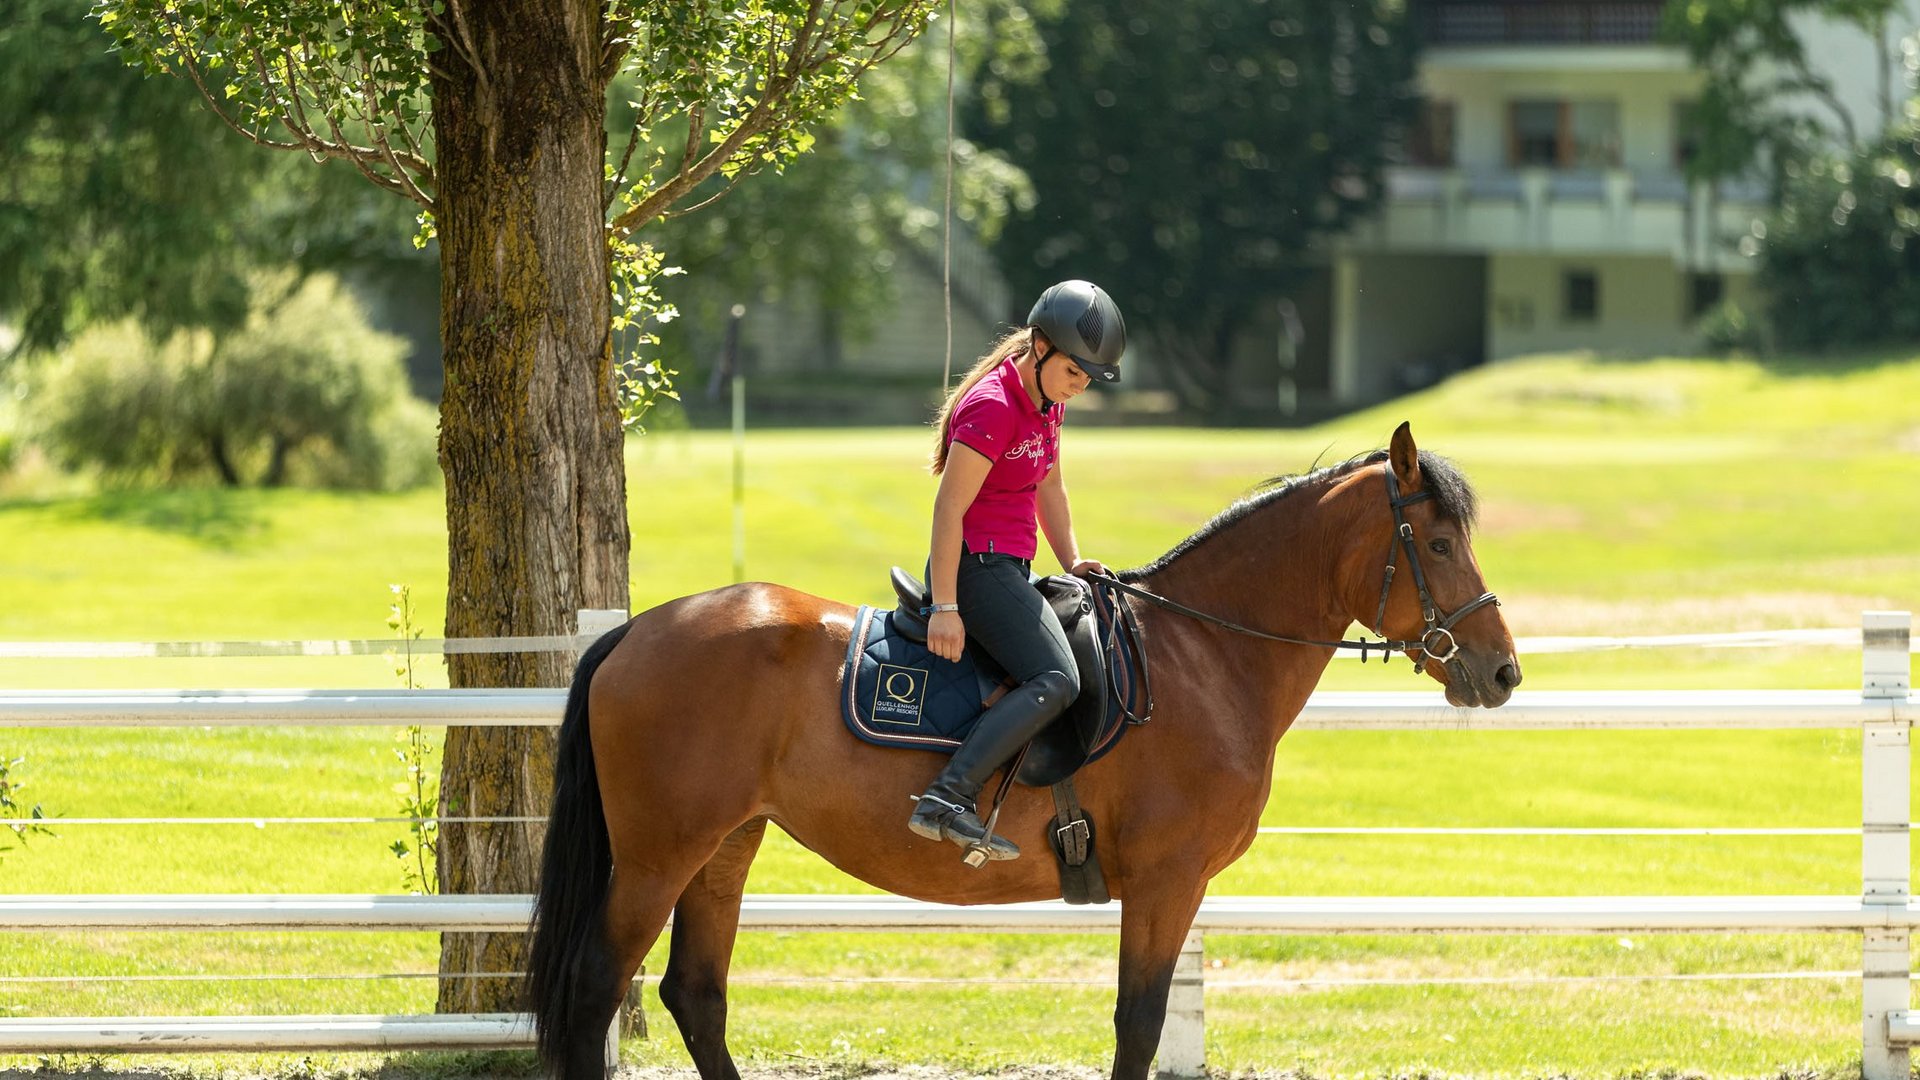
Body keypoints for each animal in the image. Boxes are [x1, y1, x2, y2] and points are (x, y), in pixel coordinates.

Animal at [526, 420, 1512, 1076]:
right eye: (1436, 542)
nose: (1501, 671)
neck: (1203, 655)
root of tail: (639, 630)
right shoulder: (1166, 884)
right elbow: (1138, 1023)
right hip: (658, 855)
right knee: (594, 987)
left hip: (725, 846)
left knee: (696, 994)